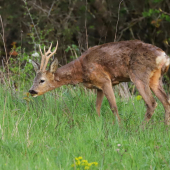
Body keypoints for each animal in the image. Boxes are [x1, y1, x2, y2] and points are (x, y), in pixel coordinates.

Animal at [28, 39, 170, 125]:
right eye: (34, 79)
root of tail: (164, 56)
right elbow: (97, 106)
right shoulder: (98, 87)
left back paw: (140, 129)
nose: (31, 91)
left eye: (42, 80)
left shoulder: (105, 80)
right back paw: (165, 127)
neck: (81, 70)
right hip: (155, 79)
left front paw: (120, 126)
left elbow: (113, 106)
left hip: (139, 75)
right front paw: (98, 123)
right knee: (166, 101)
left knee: (151, 103)